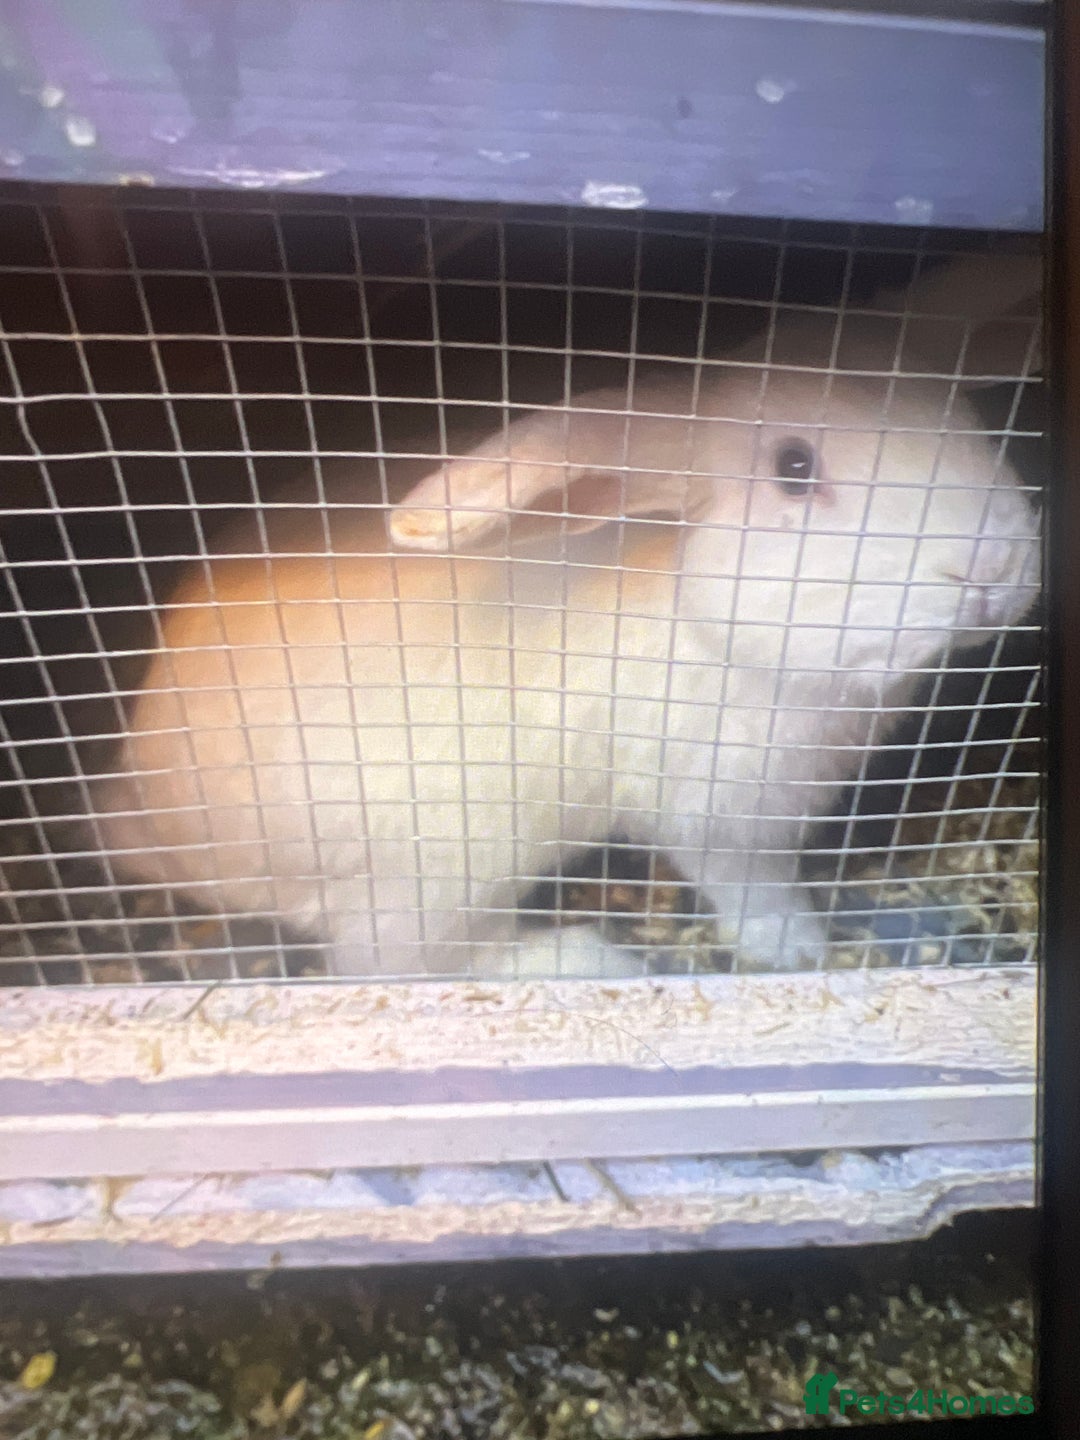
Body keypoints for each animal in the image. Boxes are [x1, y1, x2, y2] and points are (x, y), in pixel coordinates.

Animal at [97, 258, 1042, 979]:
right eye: (795, 467)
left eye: (959, 413)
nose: (993, 565)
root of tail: (148, 819)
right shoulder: (715, 809)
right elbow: (754, 890)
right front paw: (802, 951)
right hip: (448, 858)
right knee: (396, 962)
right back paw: (585, 956)